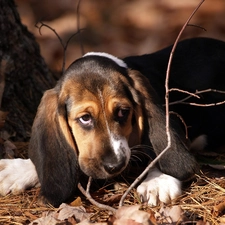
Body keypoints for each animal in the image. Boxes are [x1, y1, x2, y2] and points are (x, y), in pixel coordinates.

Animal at [0, 37, 225, 207]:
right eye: (85, 118)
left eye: (123, 112)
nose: (115, 165)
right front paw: (18, 170)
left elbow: (163, 147)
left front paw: (158, 180)